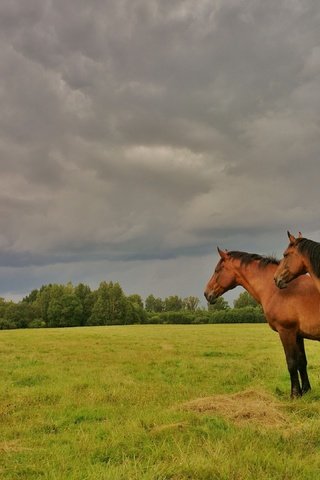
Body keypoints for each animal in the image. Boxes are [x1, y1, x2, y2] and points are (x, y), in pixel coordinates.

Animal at [205, 248, 320, 398]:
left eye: (217, 270)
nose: (206, 293)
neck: (278, 290)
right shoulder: (298, 335)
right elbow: (302, 362)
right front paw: (305, 391)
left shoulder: (286, 332)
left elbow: (291, 363)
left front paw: (294, 394)